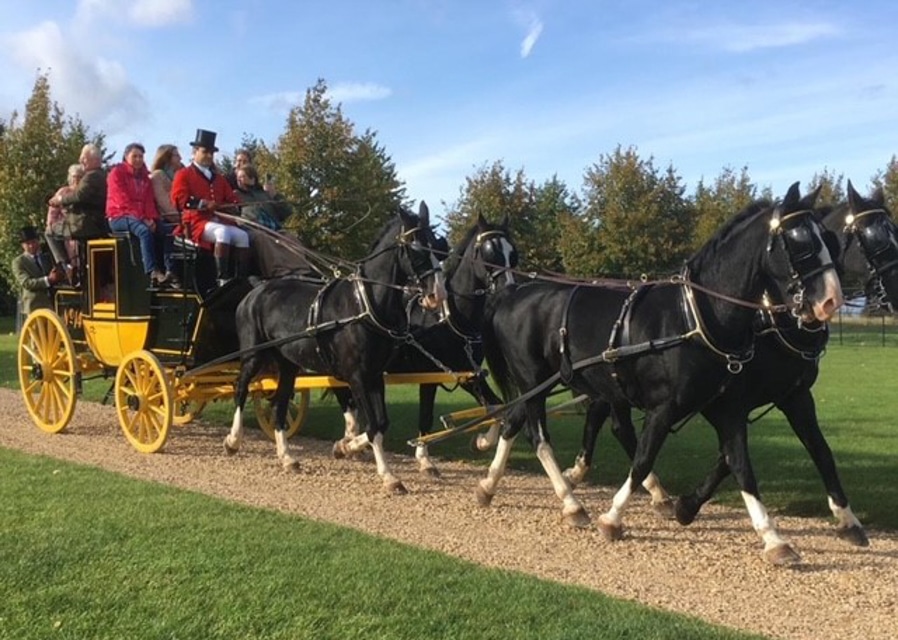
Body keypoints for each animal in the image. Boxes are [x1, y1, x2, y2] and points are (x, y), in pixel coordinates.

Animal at [224, 202, 448, 492]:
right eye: (416, 247)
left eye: (437, 247)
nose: (437, 295)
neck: (364, 306)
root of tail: (256, 289)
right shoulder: (357, 376)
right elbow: (374, 425)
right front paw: (387, 475)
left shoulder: (374, 375)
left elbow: (381, 422)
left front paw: (345, 446)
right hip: (252, 356)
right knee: (240, 389)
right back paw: (233, 440)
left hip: (287, 364)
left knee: (279, 406)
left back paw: (286, 457)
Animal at [330, 214, 516, 476]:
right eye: (490, 252)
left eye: (513, 254)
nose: (508, 289)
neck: (449, 317)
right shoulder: (433, 375)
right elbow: (426, 415)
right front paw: (425, 459)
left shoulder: (467, 374)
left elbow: (496, 406)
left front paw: (481, 441)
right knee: (345, 399)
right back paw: (348, 442)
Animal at [476, 182, 840, 564]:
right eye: (800, 242)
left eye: (829, 240)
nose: (831, 300)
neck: (694, 316)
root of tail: (511, 293)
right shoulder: (665, 407)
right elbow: (643, 458)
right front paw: (613, 518)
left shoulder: (728, 407)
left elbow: (739, 465)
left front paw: (773, 538)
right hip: (534, 380)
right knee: (539, 437)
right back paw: (571, 503)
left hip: (540, 384)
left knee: (515, 420)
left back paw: (489, 485)